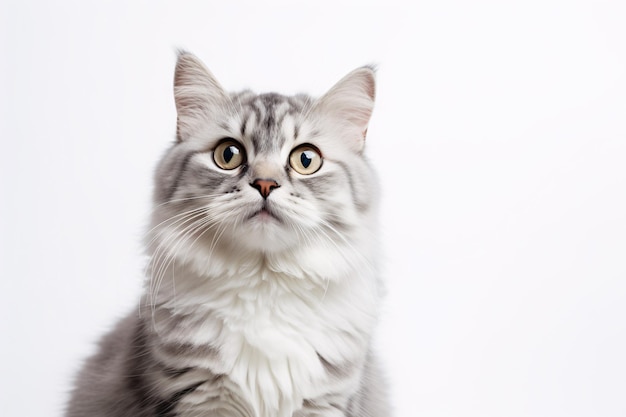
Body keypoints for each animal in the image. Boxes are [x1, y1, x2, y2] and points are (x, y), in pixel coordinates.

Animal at [64, 50, 386, 414]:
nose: (265, 184)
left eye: (306, 159)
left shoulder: (327, 401)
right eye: (228, 154)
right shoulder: (198, 395)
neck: (264, 286)